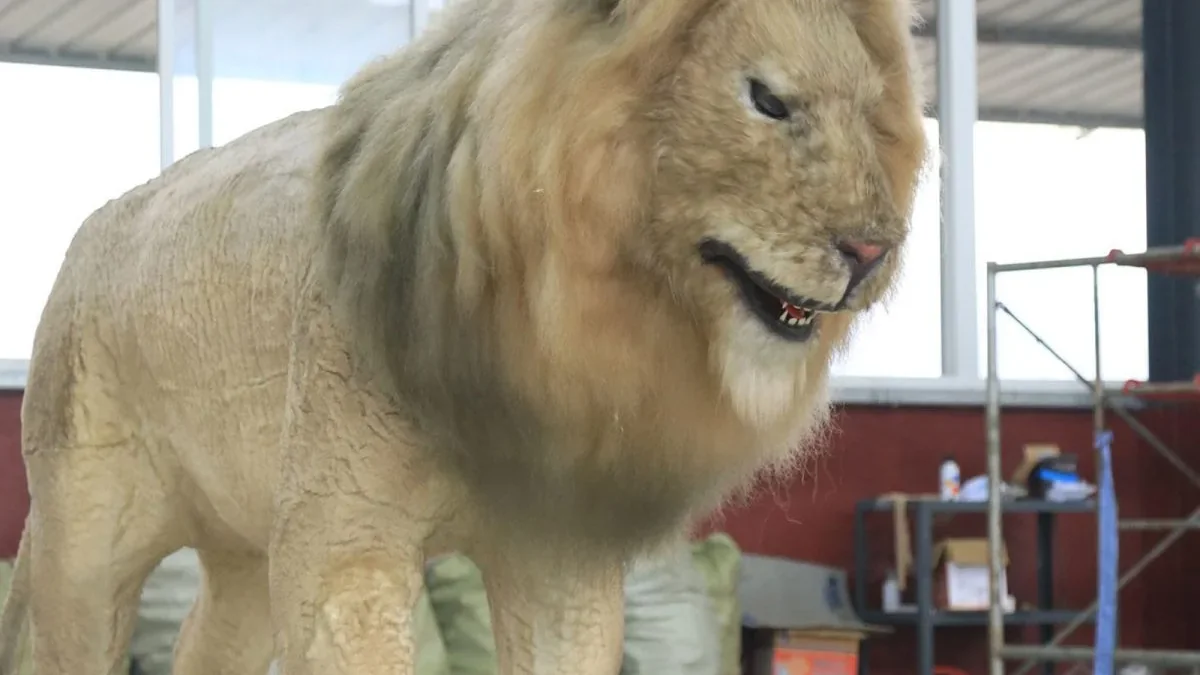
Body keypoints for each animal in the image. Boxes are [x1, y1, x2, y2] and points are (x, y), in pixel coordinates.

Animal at [0, 0, 927, 672]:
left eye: (871, 112)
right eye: (767, 100)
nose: (875, 251)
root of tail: (96, 224)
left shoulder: (557, 557)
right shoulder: (341, 543)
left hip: (240, 549)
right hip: (89, 531)